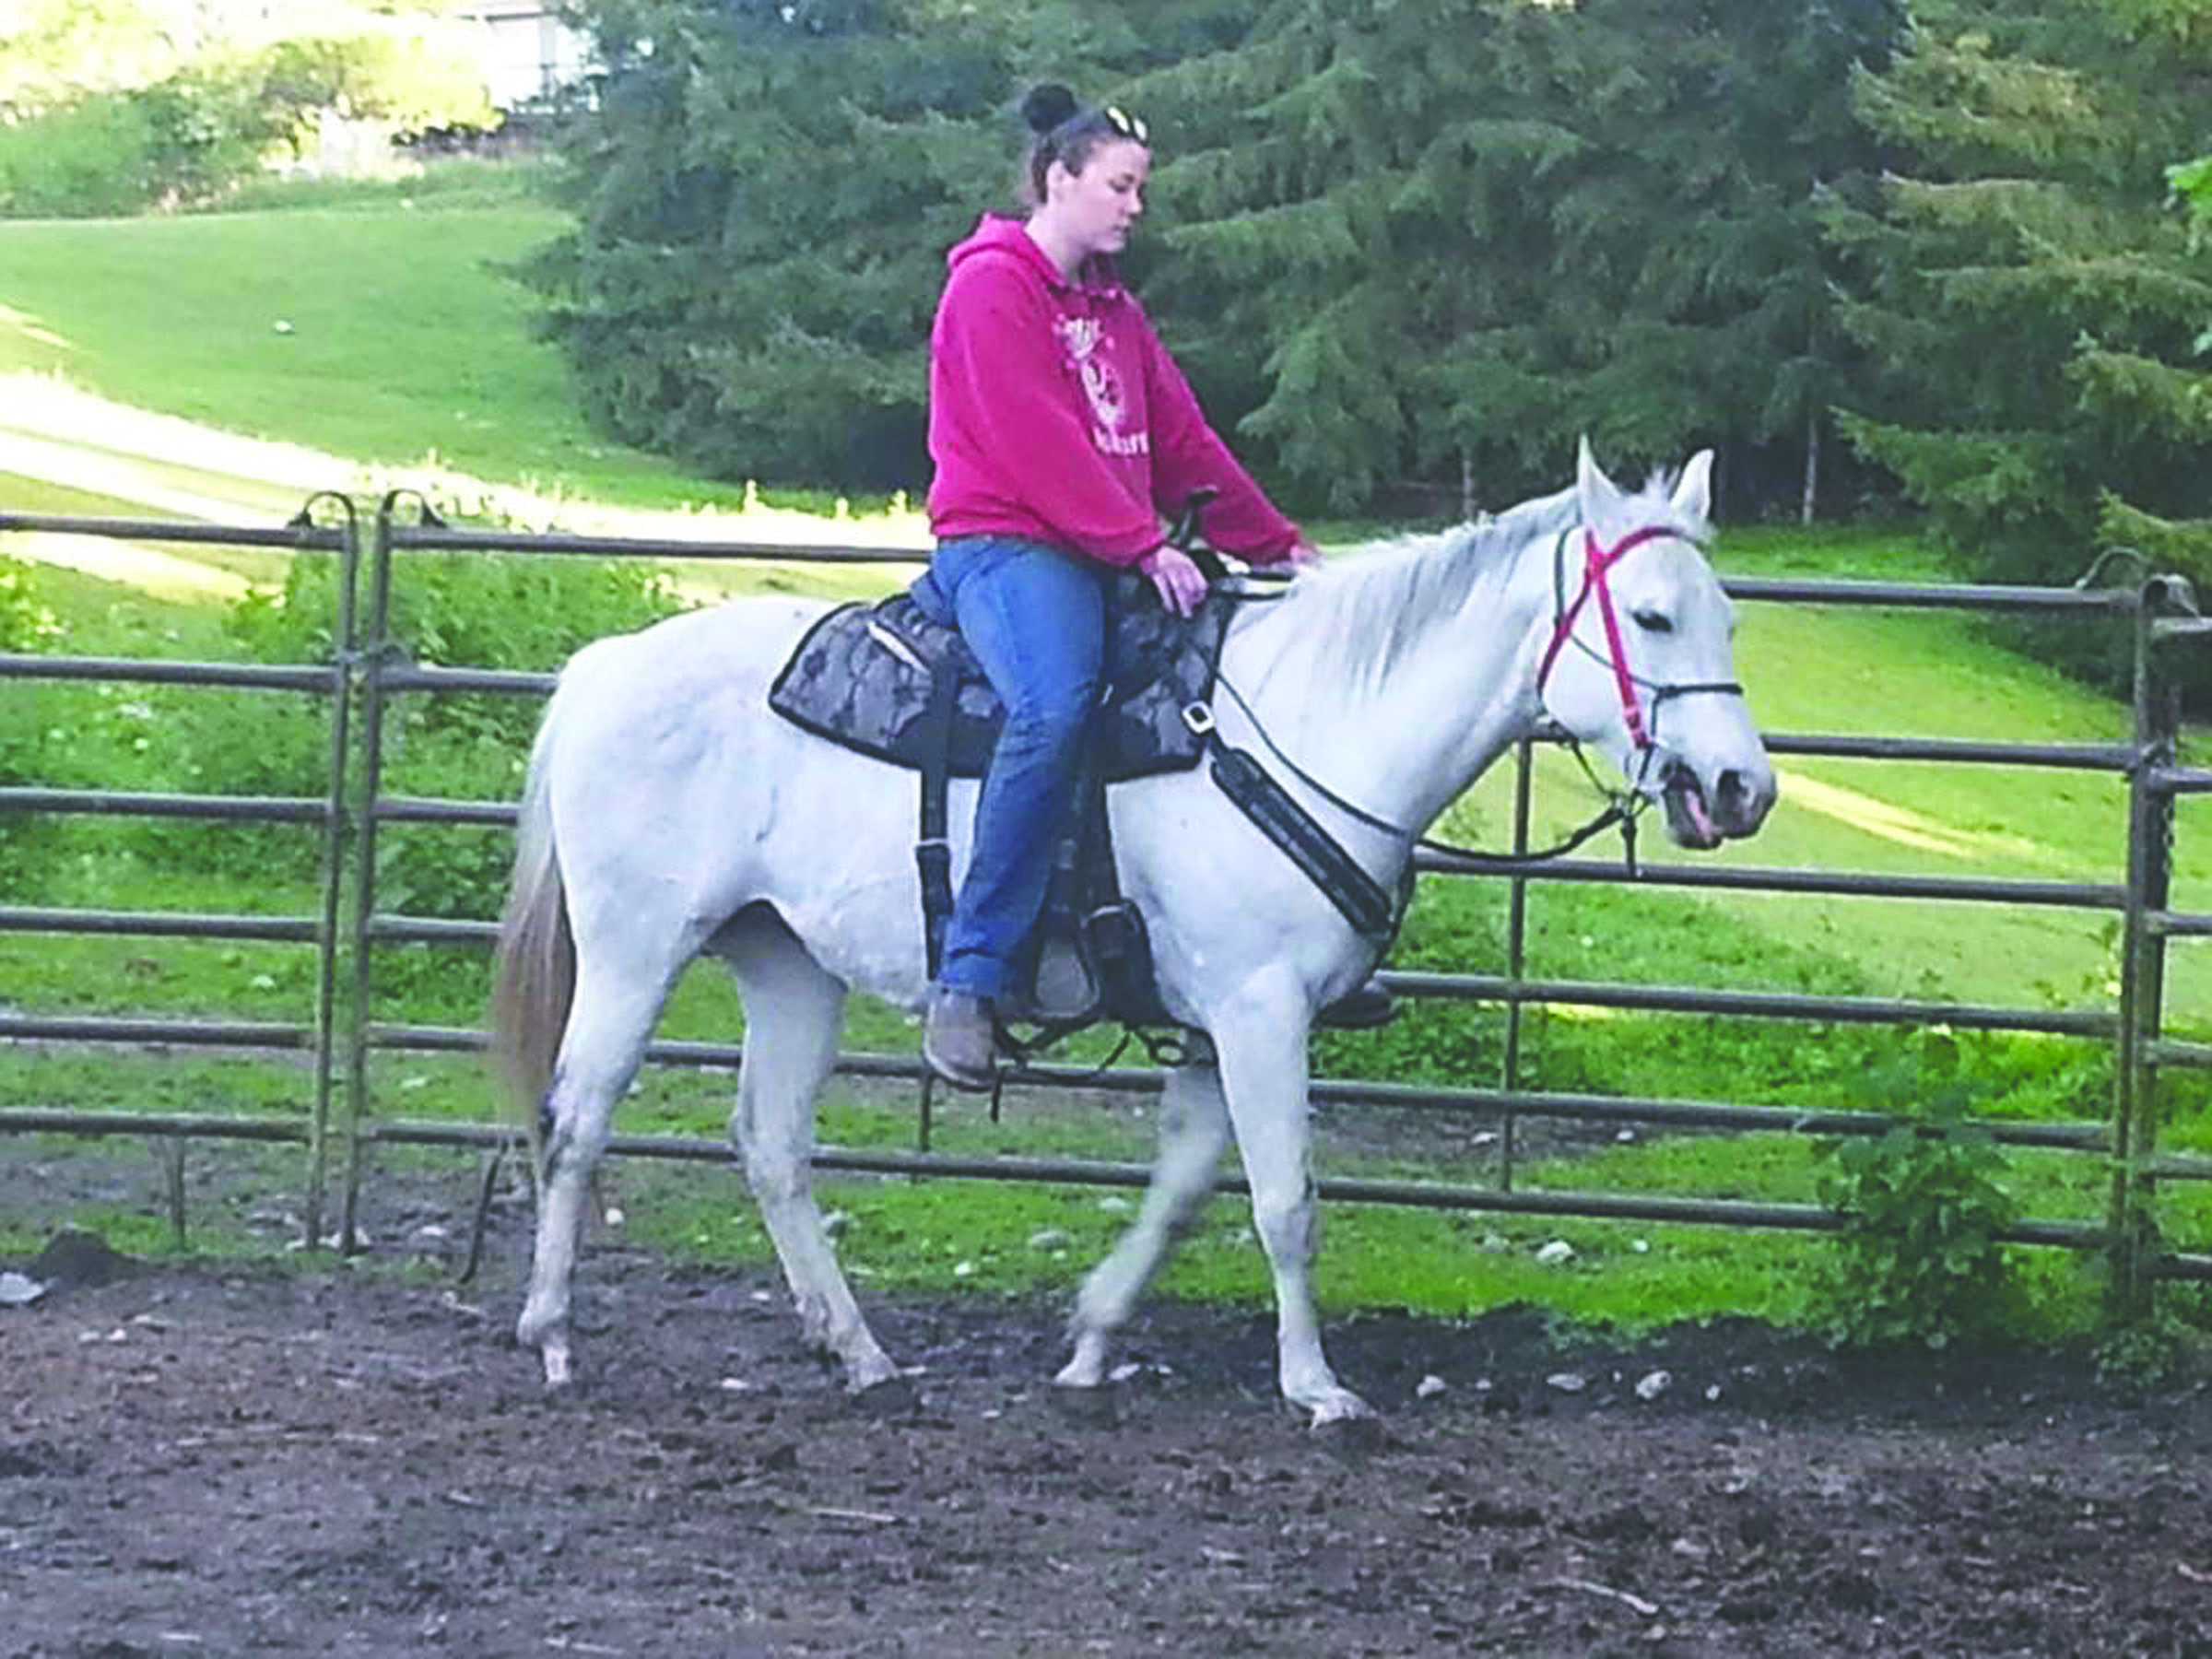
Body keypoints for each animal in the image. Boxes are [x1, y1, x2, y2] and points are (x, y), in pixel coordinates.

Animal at [493, 444, 1770, 1433]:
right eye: (1651, 615)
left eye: (1724, 616)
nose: (1742, 788)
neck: (1309, 728)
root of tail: (606, 667)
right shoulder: (1261, 1014)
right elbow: (1287, 1203)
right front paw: (1317, 1391)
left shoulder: (1217, 1027)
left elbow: (1186, 1189)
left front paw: (1094, 1340)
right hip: (636, 951)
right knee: (577, 1118)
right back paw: (551, 1332)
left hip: (786, 963)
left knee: (770, 1145)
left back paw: (859, 1352)